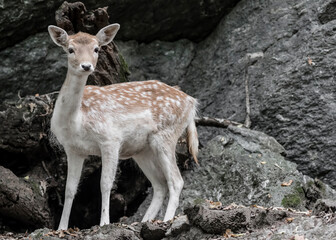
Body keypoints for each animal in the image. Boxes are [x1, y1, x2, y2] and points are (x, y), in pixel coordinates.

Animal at [48, 23, 198, 230]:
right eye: (70, 49)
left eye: (97, 49)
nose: (86, 66)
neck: (77, 120)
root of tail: (191, 102)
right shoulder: (73, 149)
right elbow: (70, 189)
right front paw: (61, 228)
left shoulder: (110, 139)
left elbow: (105, 183)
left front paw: (104, 222)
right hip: (142, 150)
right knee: (159, 184)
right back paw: (143, 221)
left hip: (166, 134)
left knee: (176, 180)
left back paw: (166, 220)